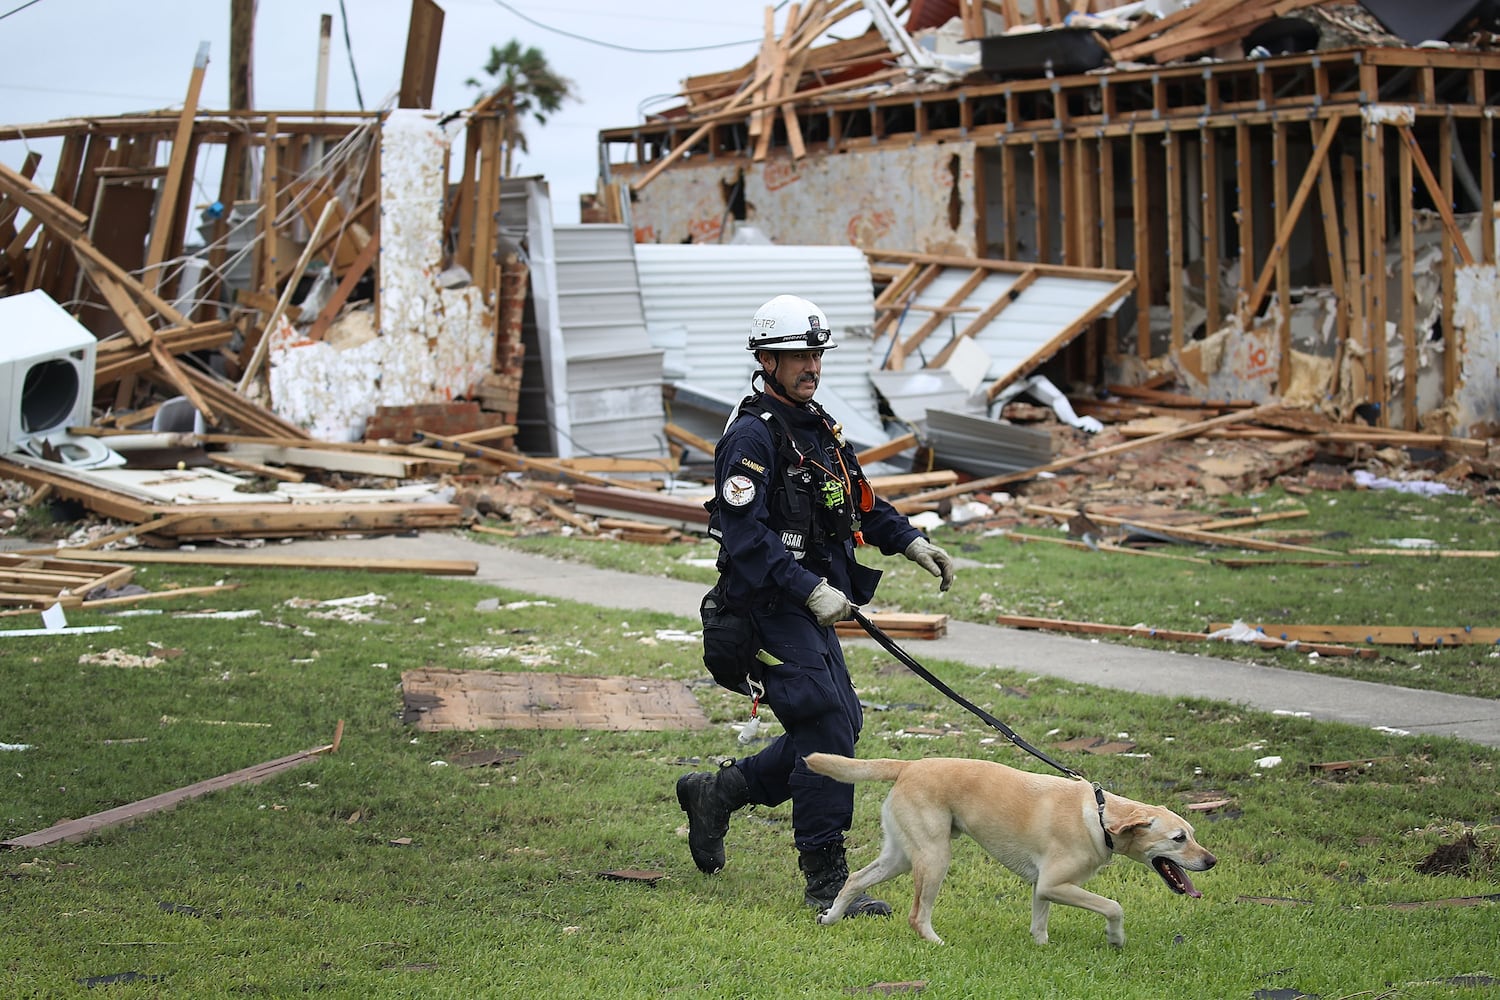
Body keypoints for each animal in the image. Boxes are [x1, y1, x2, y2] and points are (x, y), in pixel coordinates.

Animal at [804, 755, 1212, 953]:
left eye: (1193, 835)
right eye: (1178, 838)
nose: (1211, 861)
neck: (1100, 816)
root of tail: (910, 765)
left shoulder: (1043, 888)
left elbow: (1040, 922)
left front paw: (1042, 949)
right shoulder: (1055, 884)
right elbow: (1114, 906)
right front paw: (1115, 939)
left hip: (901, 855)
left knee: (856, 879)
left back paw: (832, 917)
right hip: (934, 857)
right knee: (917, 915)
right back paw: (937, 944)